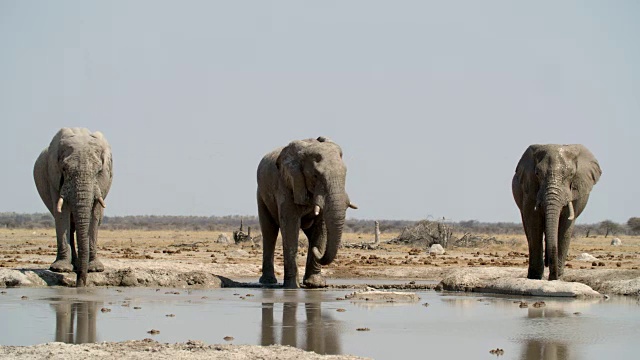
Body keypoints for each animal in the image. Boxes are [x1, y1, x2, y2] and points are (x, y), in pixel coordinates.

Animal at [33, 127, 112, 286]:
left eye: (98, 171)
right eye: (64, 169)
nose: (80, 283)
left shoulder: (102, 182)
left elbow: (95, 214)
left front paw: (95, 269)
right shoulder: (54, 177)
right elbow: (61, 212)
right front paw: (61, 269)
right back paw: (70, 265)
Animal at [258, 136, 358, 288]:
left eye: (345, 174)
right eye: (315, 176)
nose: (317, 251)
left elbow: (321, 228)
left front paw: (316, 285)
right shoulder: (287, 185)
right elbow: (290, 226)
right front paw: (292, 287)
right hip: (261, 194)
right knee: (269, 232)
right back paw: (268, 282)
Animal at [510, 144, 600, 282]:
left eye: (572, 174)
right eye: (537, 173)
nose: (553, 277)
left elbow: (566, 224)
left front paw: (558, 279)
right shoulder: (529, 188)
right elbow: (534, 221)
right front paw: (535, 278)